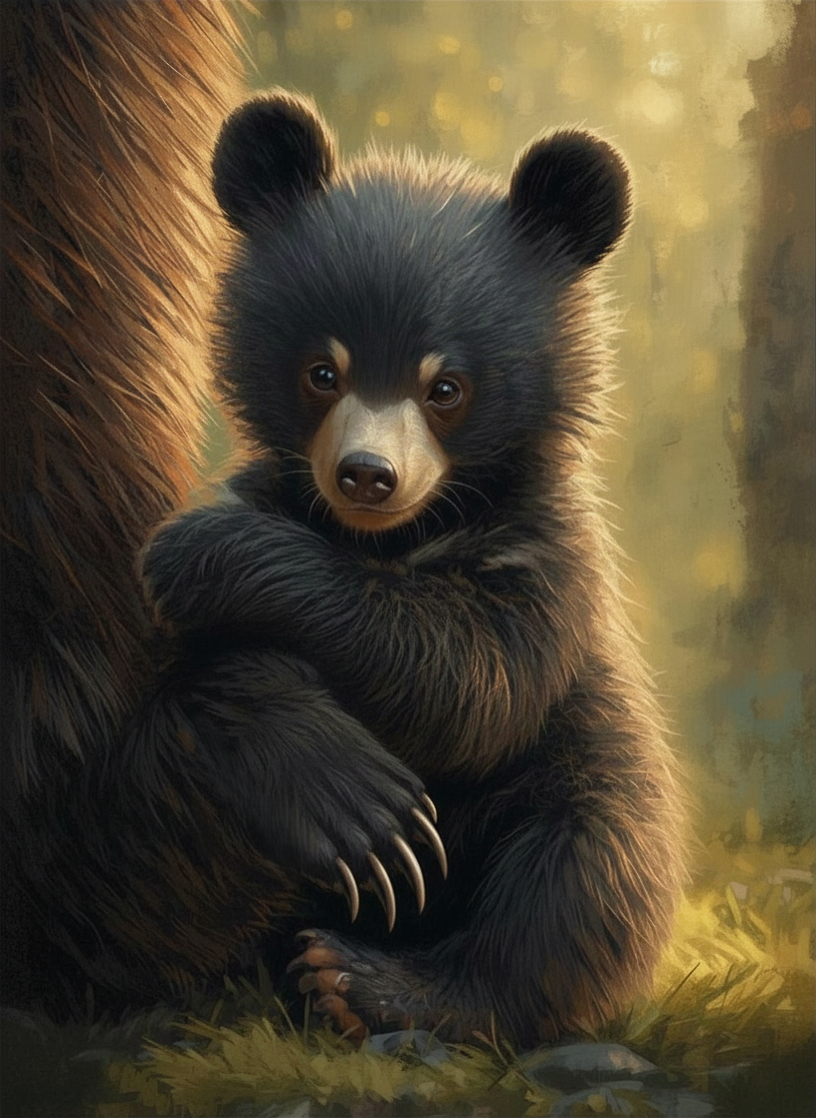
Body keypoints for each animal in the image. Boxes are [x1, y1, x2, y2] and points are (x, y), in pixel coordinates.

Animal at [136, 88, 685, 1048]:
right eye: (323, 371)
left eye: (446, 387)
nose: (367, 475)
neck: (392, 538)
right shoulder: (279, 496)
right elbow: (201, 669)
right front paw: (364, 814)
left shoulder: (547, 558)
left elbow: (468, 677)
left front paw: (195, 550)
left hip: (586, 772)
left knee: (580, 877)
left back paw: (367, 981)